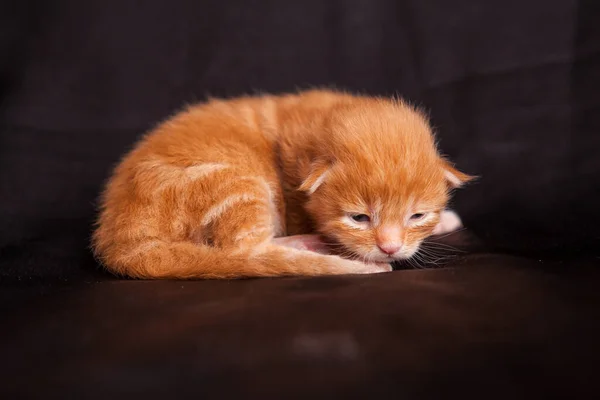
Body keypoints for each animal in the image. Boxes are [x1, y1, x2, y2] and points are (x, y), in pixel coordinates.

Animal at [91, 89, 474, 280]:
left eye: (417, 216)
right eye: (359, 218)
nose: (390, 249)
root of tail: (119, 240)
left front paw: (445, 220)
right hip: (240, 182)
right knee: (243, 252)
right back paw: (313, 247)